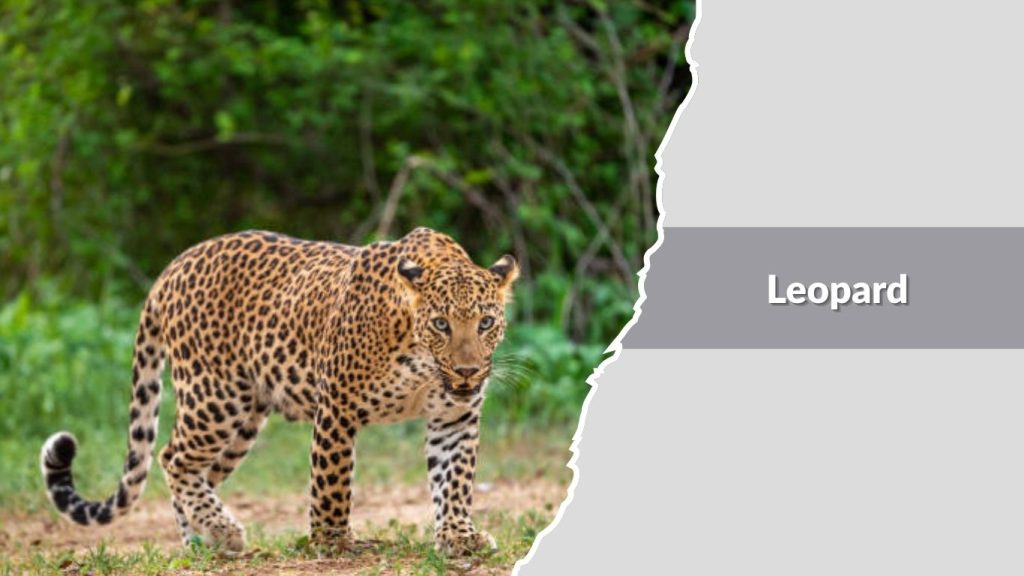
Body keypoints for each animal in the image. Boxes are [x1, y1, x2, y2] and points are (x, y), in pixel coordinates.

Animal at [39, 227, 519, 556]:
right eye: (441, 324)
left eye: (486, 323)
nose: (467, 371)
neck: (421, 361)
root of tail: (172, 268)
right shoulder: (337, 407)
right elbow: (332, 483)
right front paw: (332, 542)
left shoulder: (455, 417)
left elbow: (455, 481)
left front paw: (459, 536)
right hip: (214, 397)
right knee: (172, 457)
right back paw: (222, 531)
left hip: (244, 420)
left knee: (197, 472)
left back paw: (203, 539)